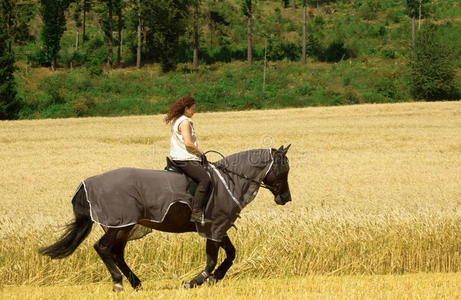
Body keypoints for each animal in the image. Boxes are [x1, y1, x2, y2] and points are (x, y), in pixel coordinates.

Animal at [40, 145, 292, 290]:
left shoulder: (220, 228)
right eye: (284, 169)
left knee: (116, 252)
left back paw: (136, 283)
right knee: (102, 248)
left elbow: (230, 254)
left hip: (125, 226)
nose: (286, 198)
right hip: (119, 224)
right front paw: (194, 282)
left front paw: (214, 278)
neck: (230, 181)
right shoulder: (215, 226)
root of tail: (86, 184)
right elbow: (212, 259)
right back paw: (119, 283)